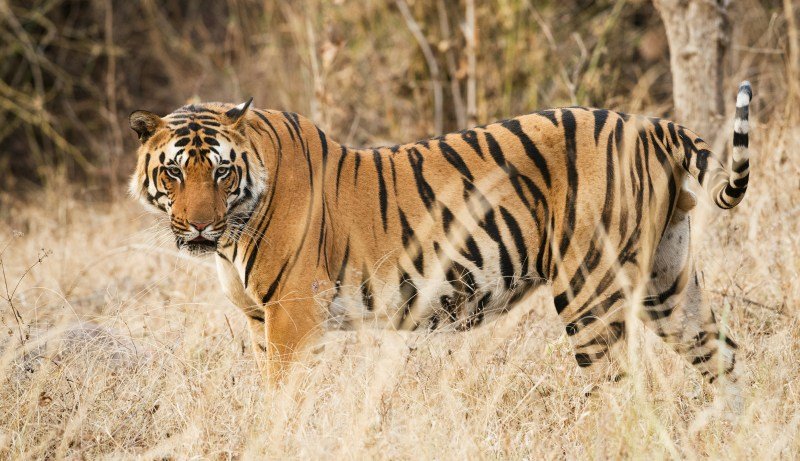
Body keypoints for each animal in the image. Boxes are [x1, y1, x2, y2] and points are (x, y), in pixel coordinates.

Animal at [129, 81, 753, 394]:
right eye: (175, 173)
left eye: (221, 173)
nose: (200, 225)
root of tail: (650, 125)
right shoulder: (261, 321)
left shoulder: (292, 315)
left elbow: (281, 402)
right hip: (668, 281)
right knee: (723, 357)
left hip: (589, 291)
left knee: (619, 392)